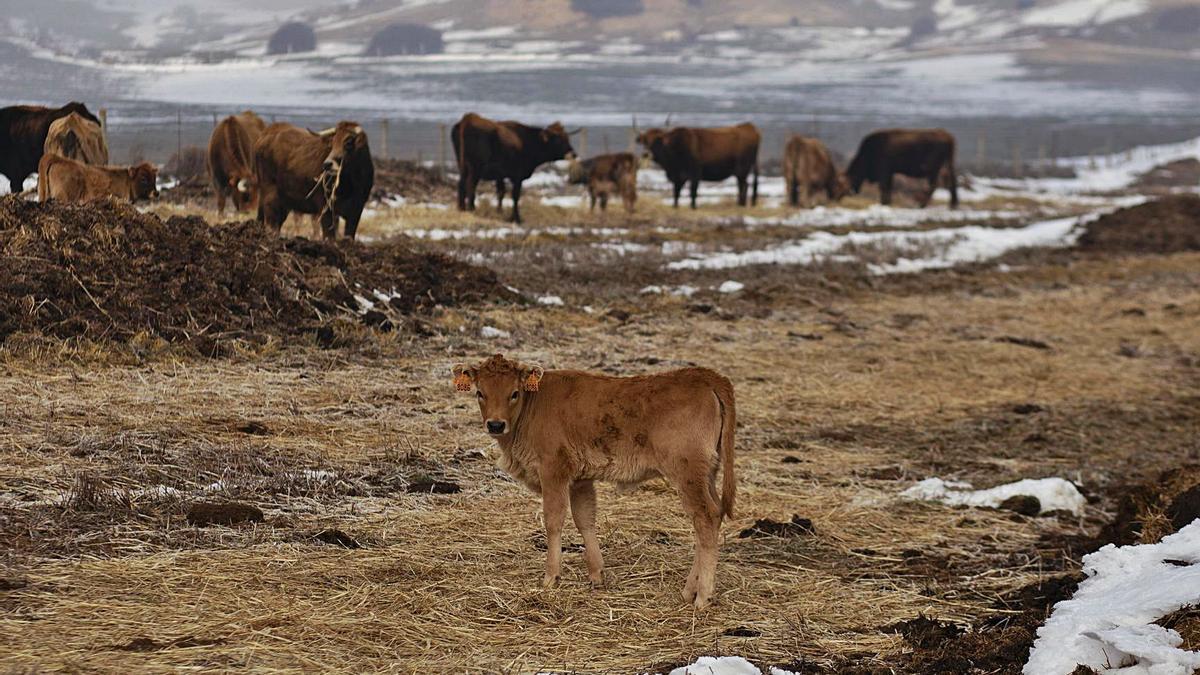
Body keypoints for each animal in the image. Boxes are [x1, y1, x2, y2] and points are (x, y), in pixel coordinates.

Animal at [451, 355, 729, 607]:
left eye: (514, 393)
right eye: (480, 393)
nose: (496, 425)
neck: (534, 404)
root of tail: (704, 377)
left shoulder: (553, 472)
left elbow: (554, 521)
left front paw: (551, 577)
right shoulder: (580, 480)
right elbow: (584, 519)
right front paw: (597, 574)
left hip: (688, 475)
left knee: (705, 519)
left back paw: (702, 596)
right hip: (706, 475)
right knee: (711, 519)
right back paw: (689, 591)